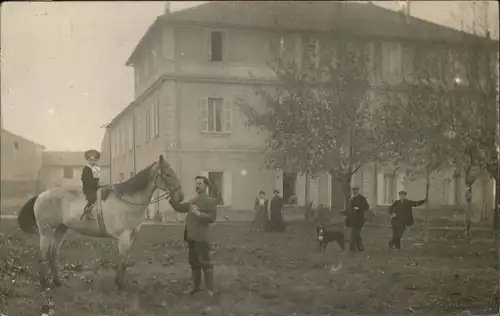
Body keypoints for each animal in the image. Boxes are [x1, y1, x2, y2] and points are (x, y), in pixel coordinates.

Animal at [17, 154, 187, 290]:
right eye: (168, 174)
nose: (181, 197)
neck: (127, 201)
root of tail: (41, 195)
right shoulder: (124, 237)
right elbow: (122, 260)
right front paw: (120, 284)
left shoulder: (131, 236)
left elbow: (125, 260)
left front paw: (120, 282)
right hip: (46, 231)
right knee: (43, 255)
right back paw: (45, 283)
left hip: (61, 229)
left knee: (53, 254)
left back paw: (57, 281)